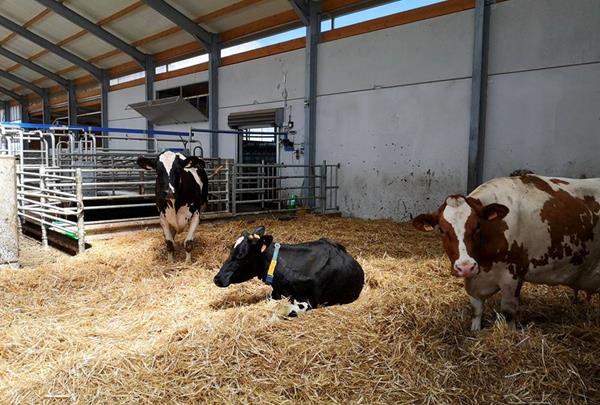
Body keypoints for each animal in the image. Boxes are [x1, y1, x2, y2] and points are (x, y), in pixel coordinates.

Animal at [412, 174, 600, 328]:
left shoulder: (513, 276)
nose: (465, 267)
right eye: (442, 230)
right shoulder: (475, 280)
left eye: (477, 226)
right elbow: (476, 311)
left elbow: (508, 313)